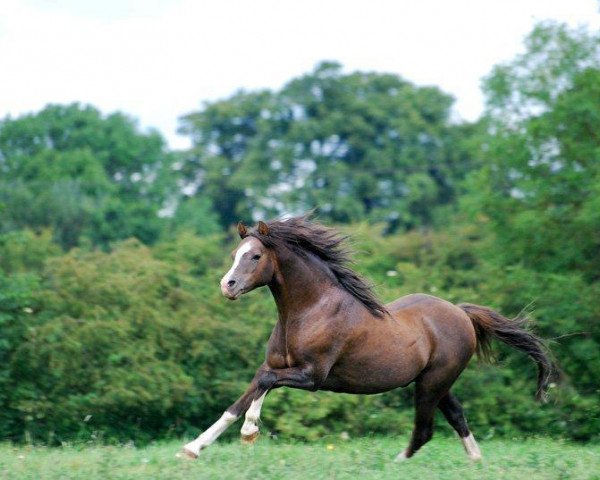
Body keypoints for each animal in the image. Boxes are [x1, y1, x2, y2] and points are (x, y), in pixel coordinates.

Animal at [178, 215, 552, 462]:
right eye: (235, 255)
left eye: (255, 256)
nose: (227, 286)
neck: (309, 309)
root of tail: (461, 313)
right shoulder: (275, 365)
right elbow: (246, 395)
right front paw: (195, 448)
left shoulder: (312, 376)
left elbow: (265, 383)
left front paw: (247, 432)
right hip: (437, 382)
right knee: (456, 416)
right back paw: (475, 462)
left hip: (431, 383)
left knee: (425, 428)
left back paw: (398, 464)